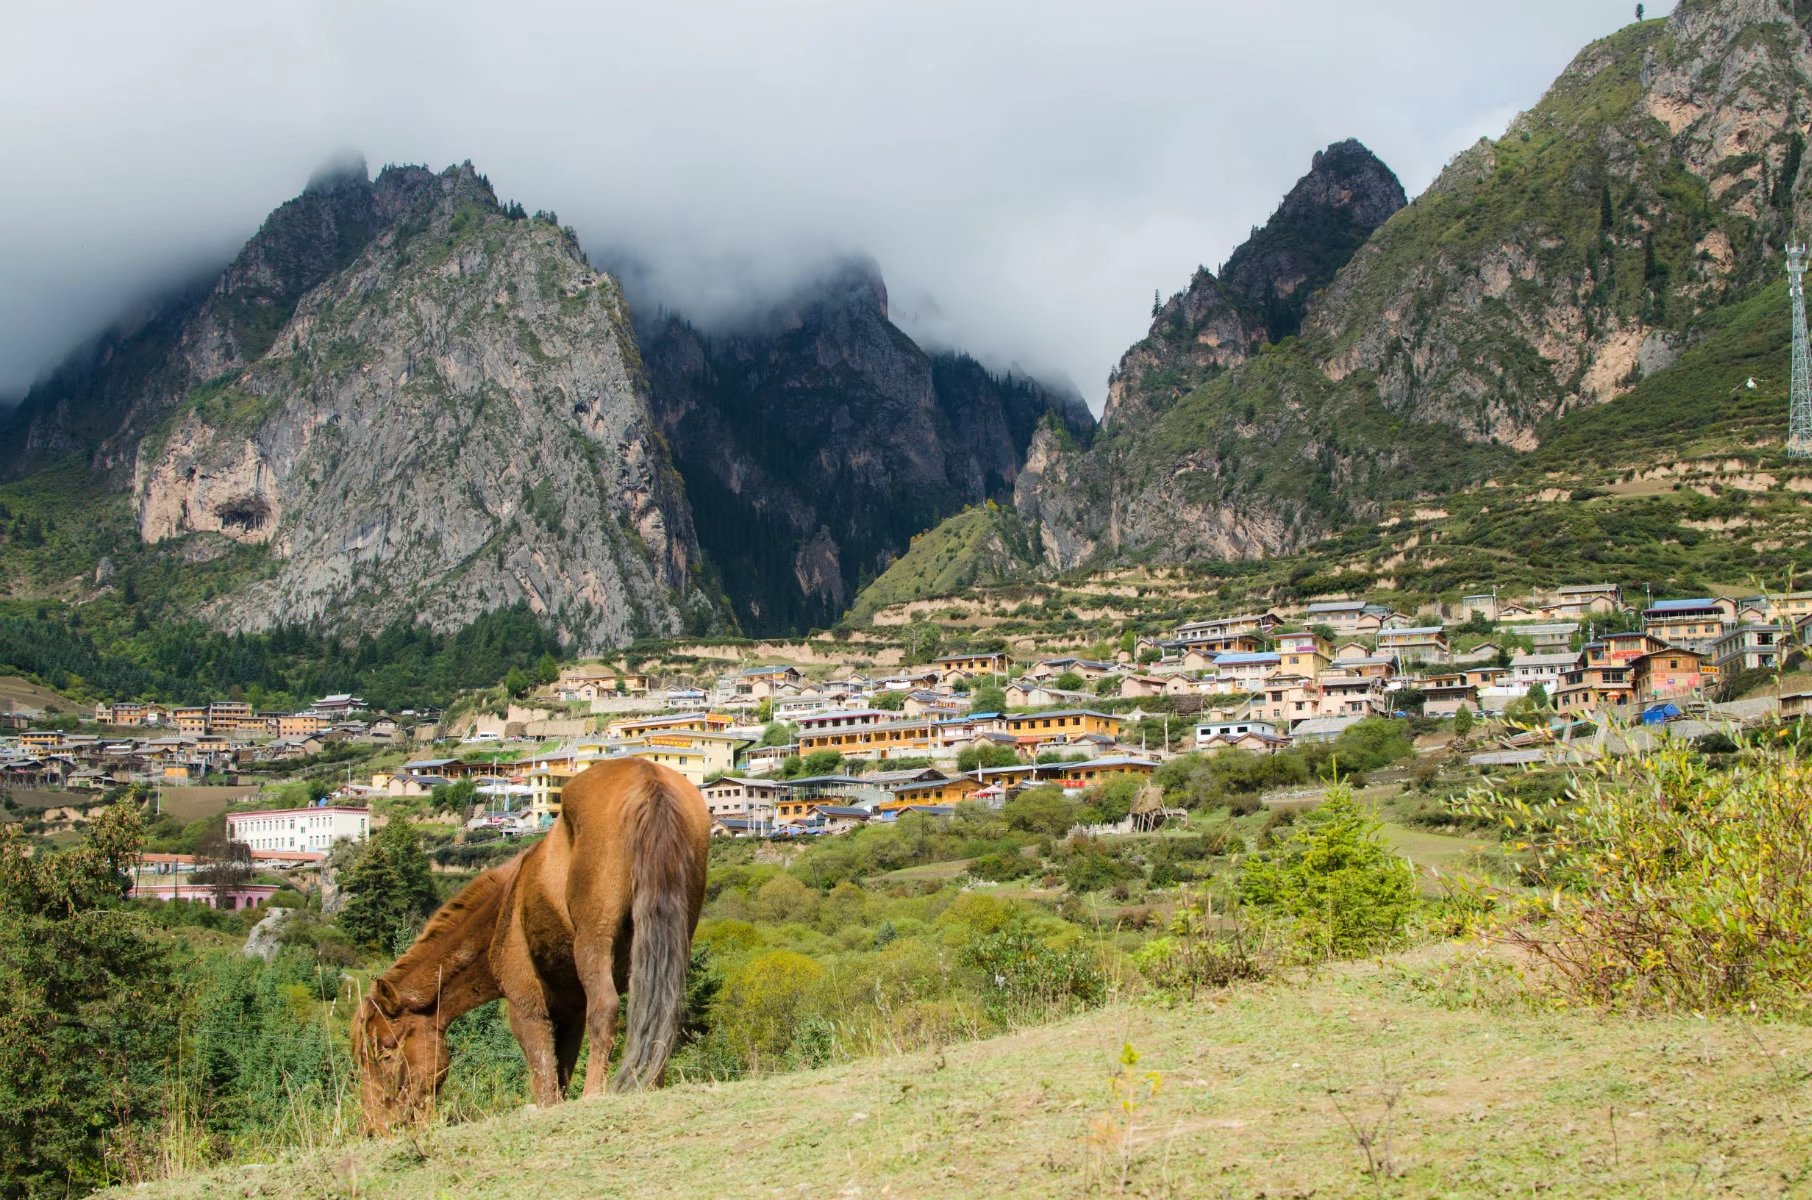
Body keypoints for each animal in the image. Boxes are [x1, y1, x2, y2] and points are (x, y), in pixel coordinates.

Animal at [349, 761, 710, 1138]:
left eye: (386, 1054)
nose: (374, 1128)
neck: (503, 912)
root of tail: (647, 779)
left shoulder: (527, 1005)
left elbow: (543, 1074)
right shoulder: (569, 1010)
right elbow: (560, 1069)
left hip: (593, 943)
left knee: (606, 1009)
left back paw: (595, 1093)